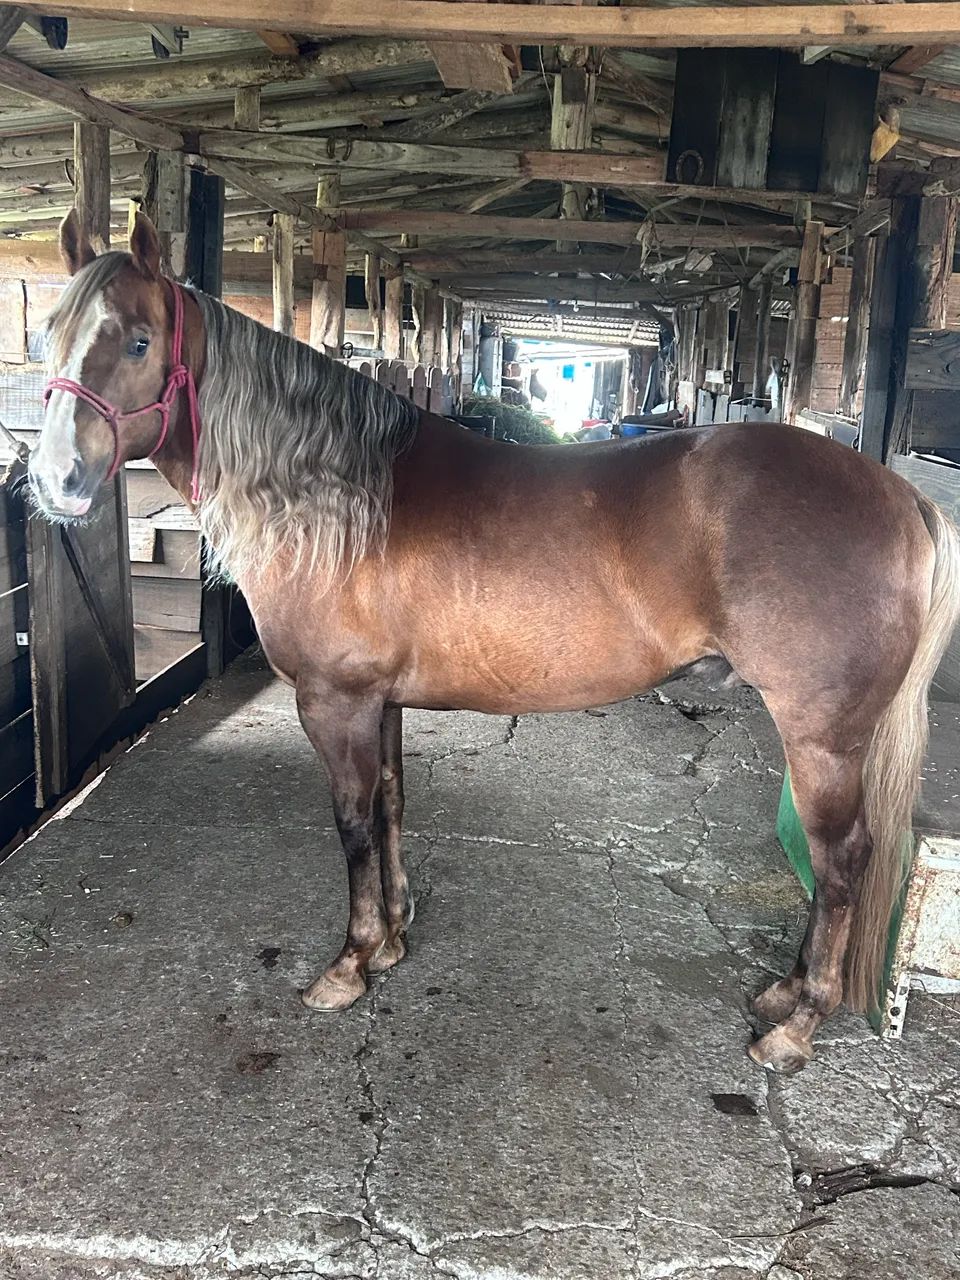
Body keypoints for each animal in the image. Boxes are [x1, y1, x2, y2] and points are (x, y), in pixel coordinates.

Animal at [28, 208, 960, 1075]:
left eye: (139, 340)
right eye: (50, 337)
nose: (53, 482)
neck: (340, 495)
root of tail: (900, 496)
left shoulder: (335, 702)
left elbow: (352, 824)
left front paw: (348, 963)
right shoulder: (380, 702)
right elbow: (393, 805)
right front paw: (392, 940)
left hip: (822, 737)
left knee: (844, 863)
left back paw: (796, 1027)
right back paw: (782, 993)